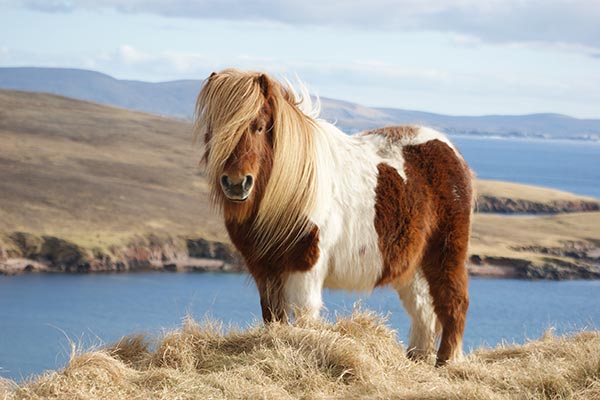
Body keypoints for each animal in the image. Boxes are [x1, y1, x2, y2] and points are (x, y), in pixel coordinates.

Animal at [195, 69, 472, 366]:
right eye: (214, 129)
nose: (236, 184)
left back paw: (447, 361)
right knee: (423, 309)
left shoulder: (305, 265)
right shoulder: (264, 270)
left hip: (445, 253)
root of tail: (449, 149)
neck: (291, 188)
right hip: (414, 265)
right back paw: (417, 359)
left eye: (258, 126)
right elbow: (273, 317)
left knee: (454, 302)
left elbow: (304, 316)